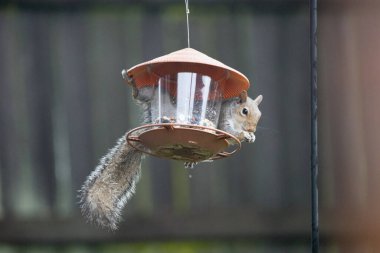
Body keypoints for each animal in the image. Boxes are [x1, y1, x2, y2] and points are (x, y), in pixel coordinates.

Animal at [78, 86, 262, 230]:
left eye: (259, 115)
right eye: (245, 111)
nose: (252, 129)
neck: (233, 115)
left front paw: (251, 136)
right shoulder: (224, 121)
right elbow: (231, 132)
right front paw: (245, 134)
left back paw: (191, 159)